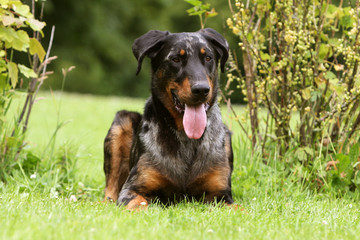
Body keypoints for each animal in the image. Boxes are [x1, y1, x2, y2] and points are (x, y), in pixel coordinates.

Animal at [103, 27, 236, 208]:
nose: (201, 89)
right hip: (121, 122)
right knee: (110, 188)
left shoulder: (221, 195)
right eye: (176, 59)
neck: (186, 137)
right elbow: (138, 203)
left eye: (208, 58)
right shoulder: (133, 188)